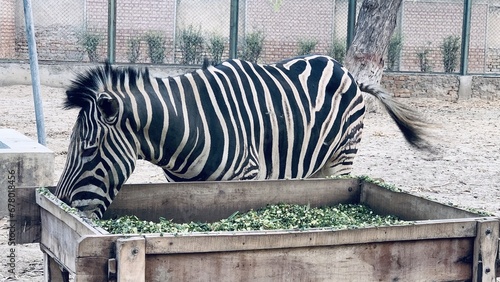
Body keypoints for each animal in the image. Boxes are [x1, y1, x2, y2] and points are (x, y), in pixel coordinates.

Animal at [53, 54, 430, 218]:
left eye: (88, 151)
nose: (61, 205)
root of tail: (345, 70)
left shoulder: (243, 177)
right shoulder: (178, 186)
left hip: (342, 158)